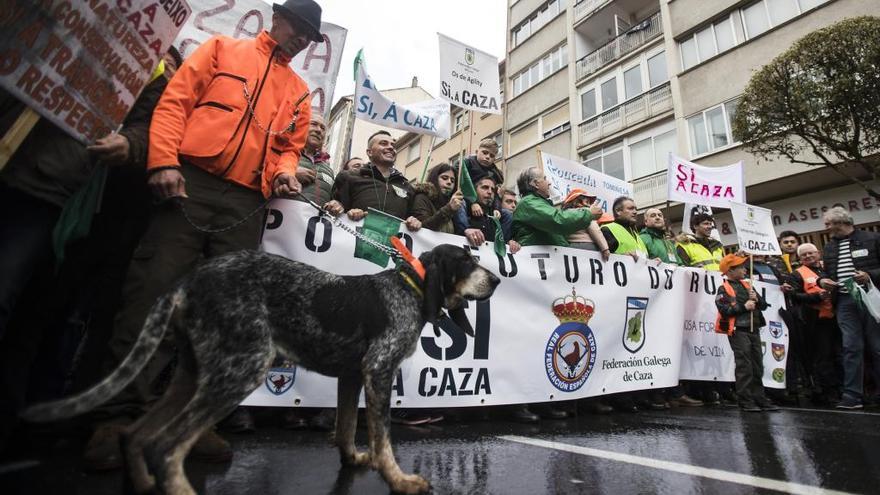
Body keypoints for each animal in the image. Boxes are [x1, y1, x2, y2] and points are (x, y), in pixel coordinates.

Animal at [24, 244, 498, 495]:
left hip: (193, 375)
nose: (496, 279)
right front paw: (399, 479)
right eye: (466, 261)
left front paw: (351, 459)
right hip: (241, 371)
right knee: (166, 445)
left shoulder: (351, 376)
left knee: (135, 434)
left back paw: (141, 483)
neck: (410, 287)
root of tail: (187, 283)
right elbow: (383, 438)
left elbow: (346, 428)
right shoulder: (378, 372)